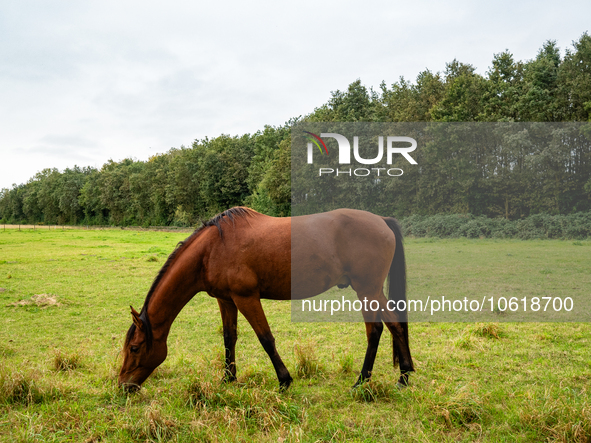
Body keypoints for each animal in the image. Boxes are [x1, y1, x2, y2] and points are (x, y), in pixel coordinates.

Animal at [119, 208, 416, 392]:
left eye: (134, 348)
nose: (123, 385)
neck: (212, 248)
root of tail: (381, 220)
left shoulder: (246, 298)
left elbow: (265, 338)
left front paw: (284, 380)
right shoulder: (226, 300)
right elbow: (229, 338)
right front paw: (228, 378)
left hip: (367, 291)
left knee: (375, 330)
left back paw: (362, 381)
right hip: (374, 291)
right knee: (395, 325)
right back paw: (404, 376)